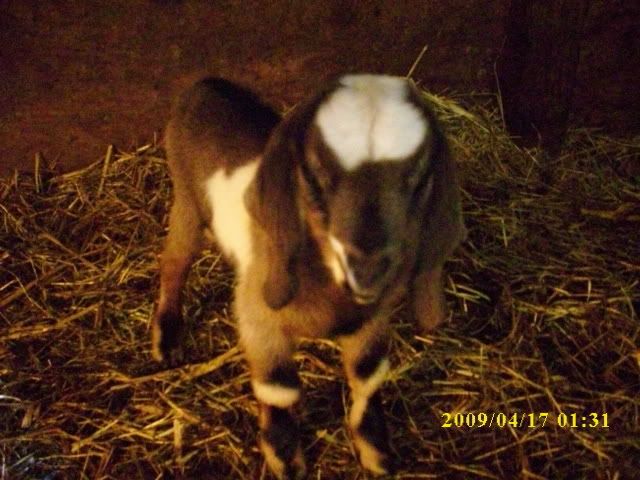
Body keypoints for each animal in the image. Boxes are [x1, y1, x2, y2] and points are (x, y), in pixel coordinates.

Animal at [151, 74, 466, 478]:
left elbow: (368, 372)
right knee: (174, 261)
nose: (367, 268)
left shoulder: (373, 319)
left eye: (417, 179)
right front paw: (285, 456)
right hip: (187, 203)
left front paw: (375, 449)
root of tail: (207, 83)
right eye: (317, 177)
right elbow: (278, 386)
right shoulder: (258, 317)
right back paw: (167, 336)